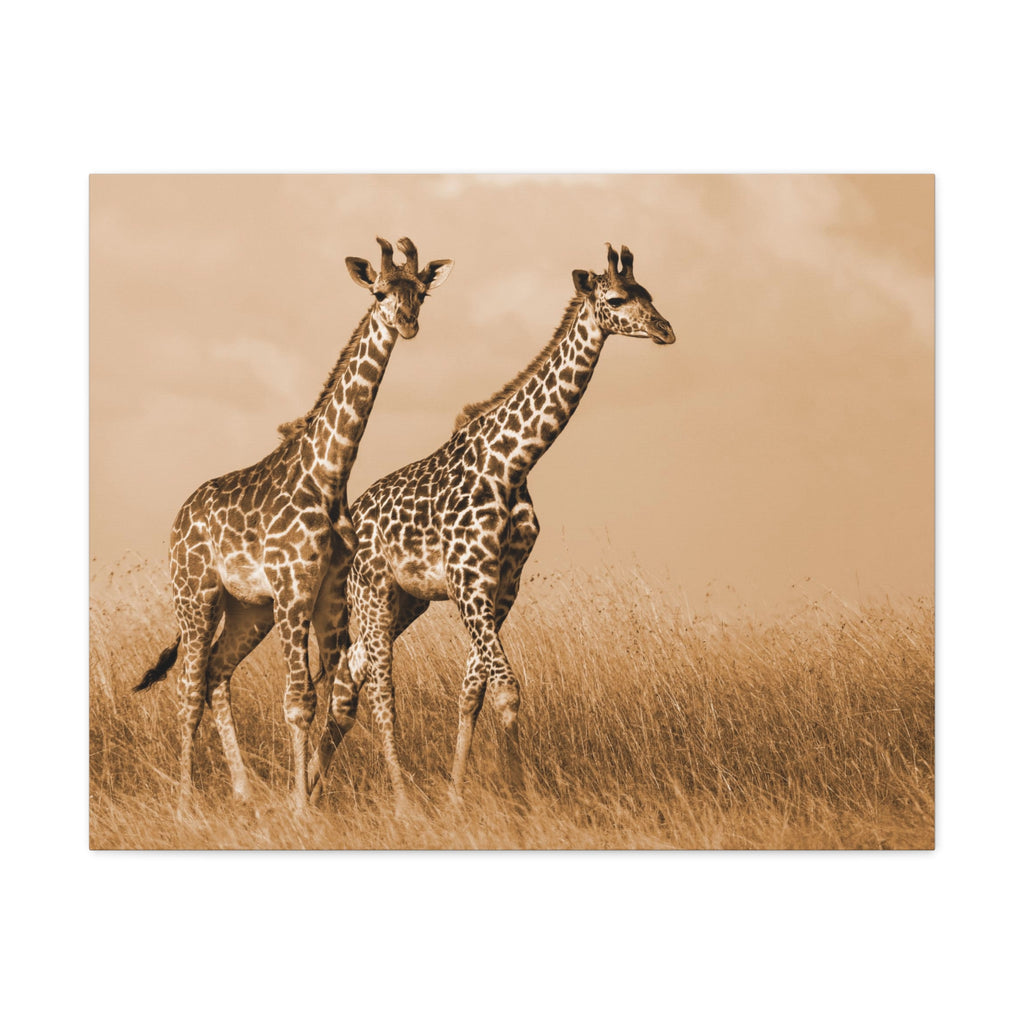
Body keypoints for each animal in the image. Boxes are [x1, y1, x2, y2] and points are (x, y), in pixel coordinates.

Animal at [135, 237, 453, 812]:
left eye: (420, 293)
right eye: (378, 291)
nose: (407, 323)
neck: (328, 474)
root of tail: (180, 516)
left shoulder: (328, 595)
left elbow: (337, 696)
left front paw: (319, 796)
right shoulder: (294, 590)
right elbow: (299, 699)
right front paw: (301, 805)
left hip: (248, 608)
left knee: (216, 673)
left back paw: (242, 789)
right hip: (196, 594)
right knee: (188, 686)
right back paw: (186, 803)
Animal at [307, 244, 675, 811]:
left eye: (649, 293)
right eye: (616, 299)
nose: (665, 329)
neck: (513, 463)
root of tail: (349, 521)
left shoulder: (503, 584)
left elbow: (473, 690)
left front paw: (458, 797)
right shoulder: (468, 580)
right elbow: (506, 689)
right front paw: (524, 801)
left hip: (405, 602)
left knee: (349, 678)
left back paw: (310, 792)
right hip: (372, 594)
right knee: (376, 688)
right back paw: (396, 802)